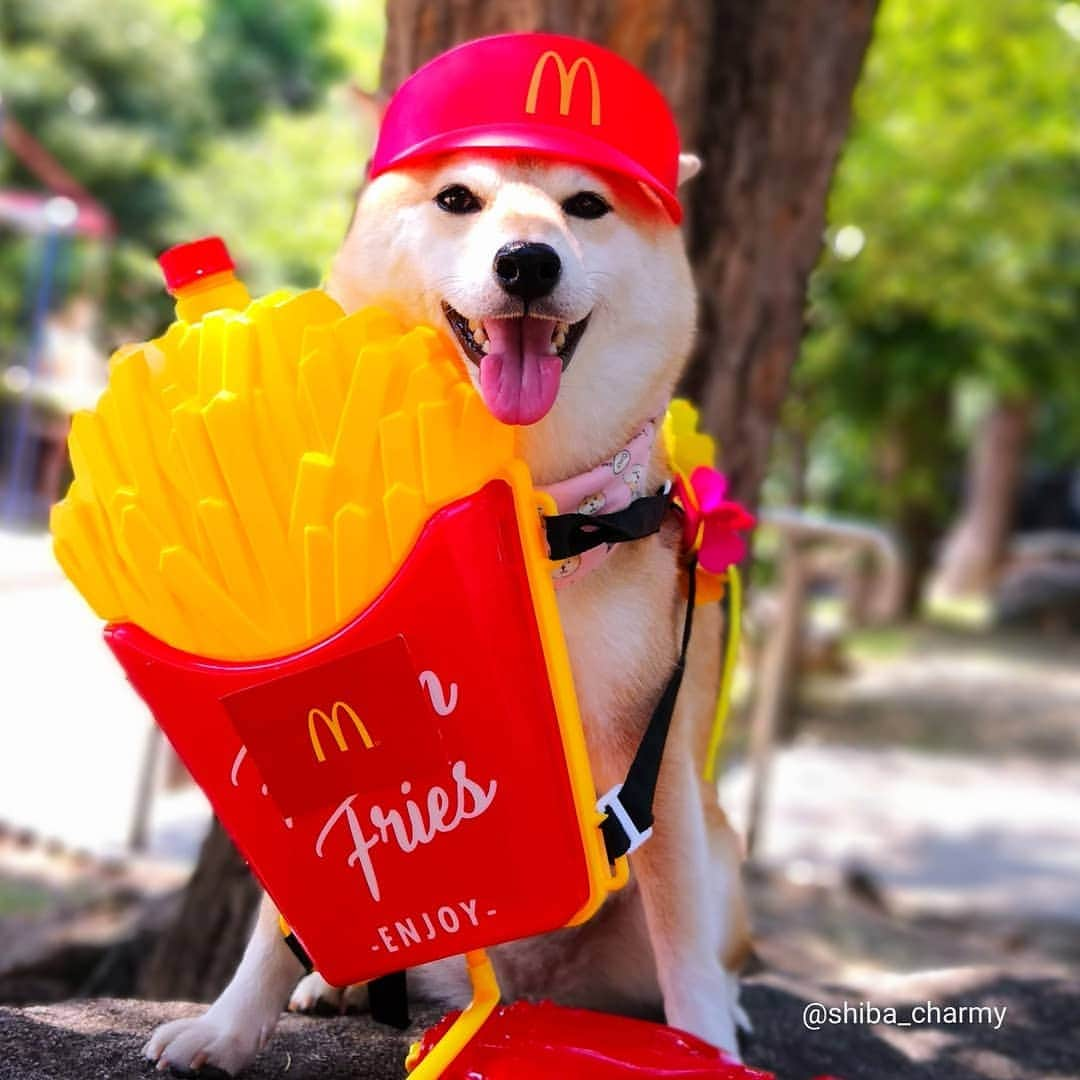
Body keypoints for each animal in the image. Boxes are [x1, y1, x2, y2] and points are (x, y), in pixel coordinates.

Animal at [143, 31, 751, 1071]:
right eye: (458, 199)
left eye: (585, 206)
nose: (528, 261)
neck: (534, 512)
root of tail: (531, 989)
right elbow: (285, 910)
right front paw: (228, 1026)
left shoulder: (658, 758)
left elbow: (684, 944)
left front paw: (705, 1045)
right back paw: (334, 981)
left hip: (719, 852)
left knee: (707, 947)